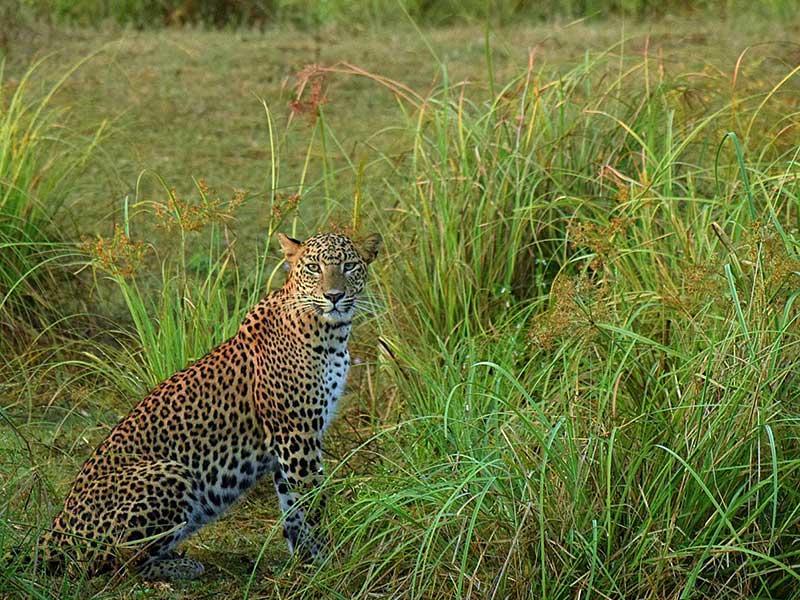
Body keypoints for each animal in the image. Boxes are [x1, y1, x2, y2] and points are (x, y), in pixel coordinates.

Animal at [39, 232, 382, 580]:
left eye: (349, 266)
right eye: (313, 268)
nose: (334, 296)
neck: (332, 334)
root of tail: (50, 536)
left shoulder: (290, 441)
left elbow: (293, 506)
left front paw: (306, 561)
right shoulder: (296, 434)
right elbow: (312, 501)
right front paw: (330, 562)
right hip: (172, 473)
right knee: (119, 564)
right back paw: (182, 566)